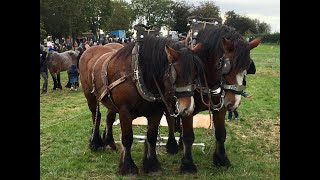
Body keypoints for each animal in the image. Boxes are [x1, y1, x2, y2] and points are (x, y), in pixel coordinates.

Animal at [79, 35, 205, 175]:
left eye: (195, 74)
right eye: (175, 74)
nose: (188, 108)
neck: (138, 74)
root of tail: (90, 49)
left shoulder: (156, 112)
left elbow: (152, 137)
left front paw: (152, 165)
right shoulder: (124, 112)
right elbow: (127, 138)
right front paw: (128, 167)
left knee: (109, 117)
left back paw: (109, 141)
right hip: (90, 96)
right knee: (96, 116)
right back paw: (95, 142)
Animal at [164, 24, 262, 169]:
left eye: (247, 67)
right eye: (226, 66)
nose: (233, 103)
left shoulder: (220, 107)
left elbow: (221, 133)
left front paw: (221, 159)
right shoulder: (187, 106)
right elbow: (188, 136)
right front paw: (187, 164)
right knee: (170, 121)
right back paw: (172, 145)